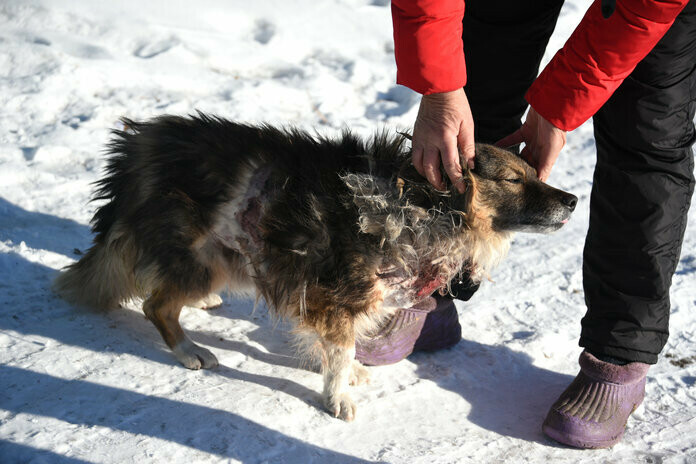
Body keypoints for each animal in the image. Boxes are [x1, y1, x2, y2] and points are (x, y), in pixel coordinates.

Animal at [53, 112, 576, 420]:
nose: (572, 200)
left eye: (535, 172)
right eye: (513, 180)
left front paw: (345, 374)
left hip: (219, 254)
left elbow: (337, 349)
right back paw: (189, 350)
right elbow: (339, 350)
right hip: (196, 255)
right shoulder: (339, 295)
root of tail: (142, 146)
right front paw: (338, 394)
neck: (419, 203)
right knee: (156, 305)